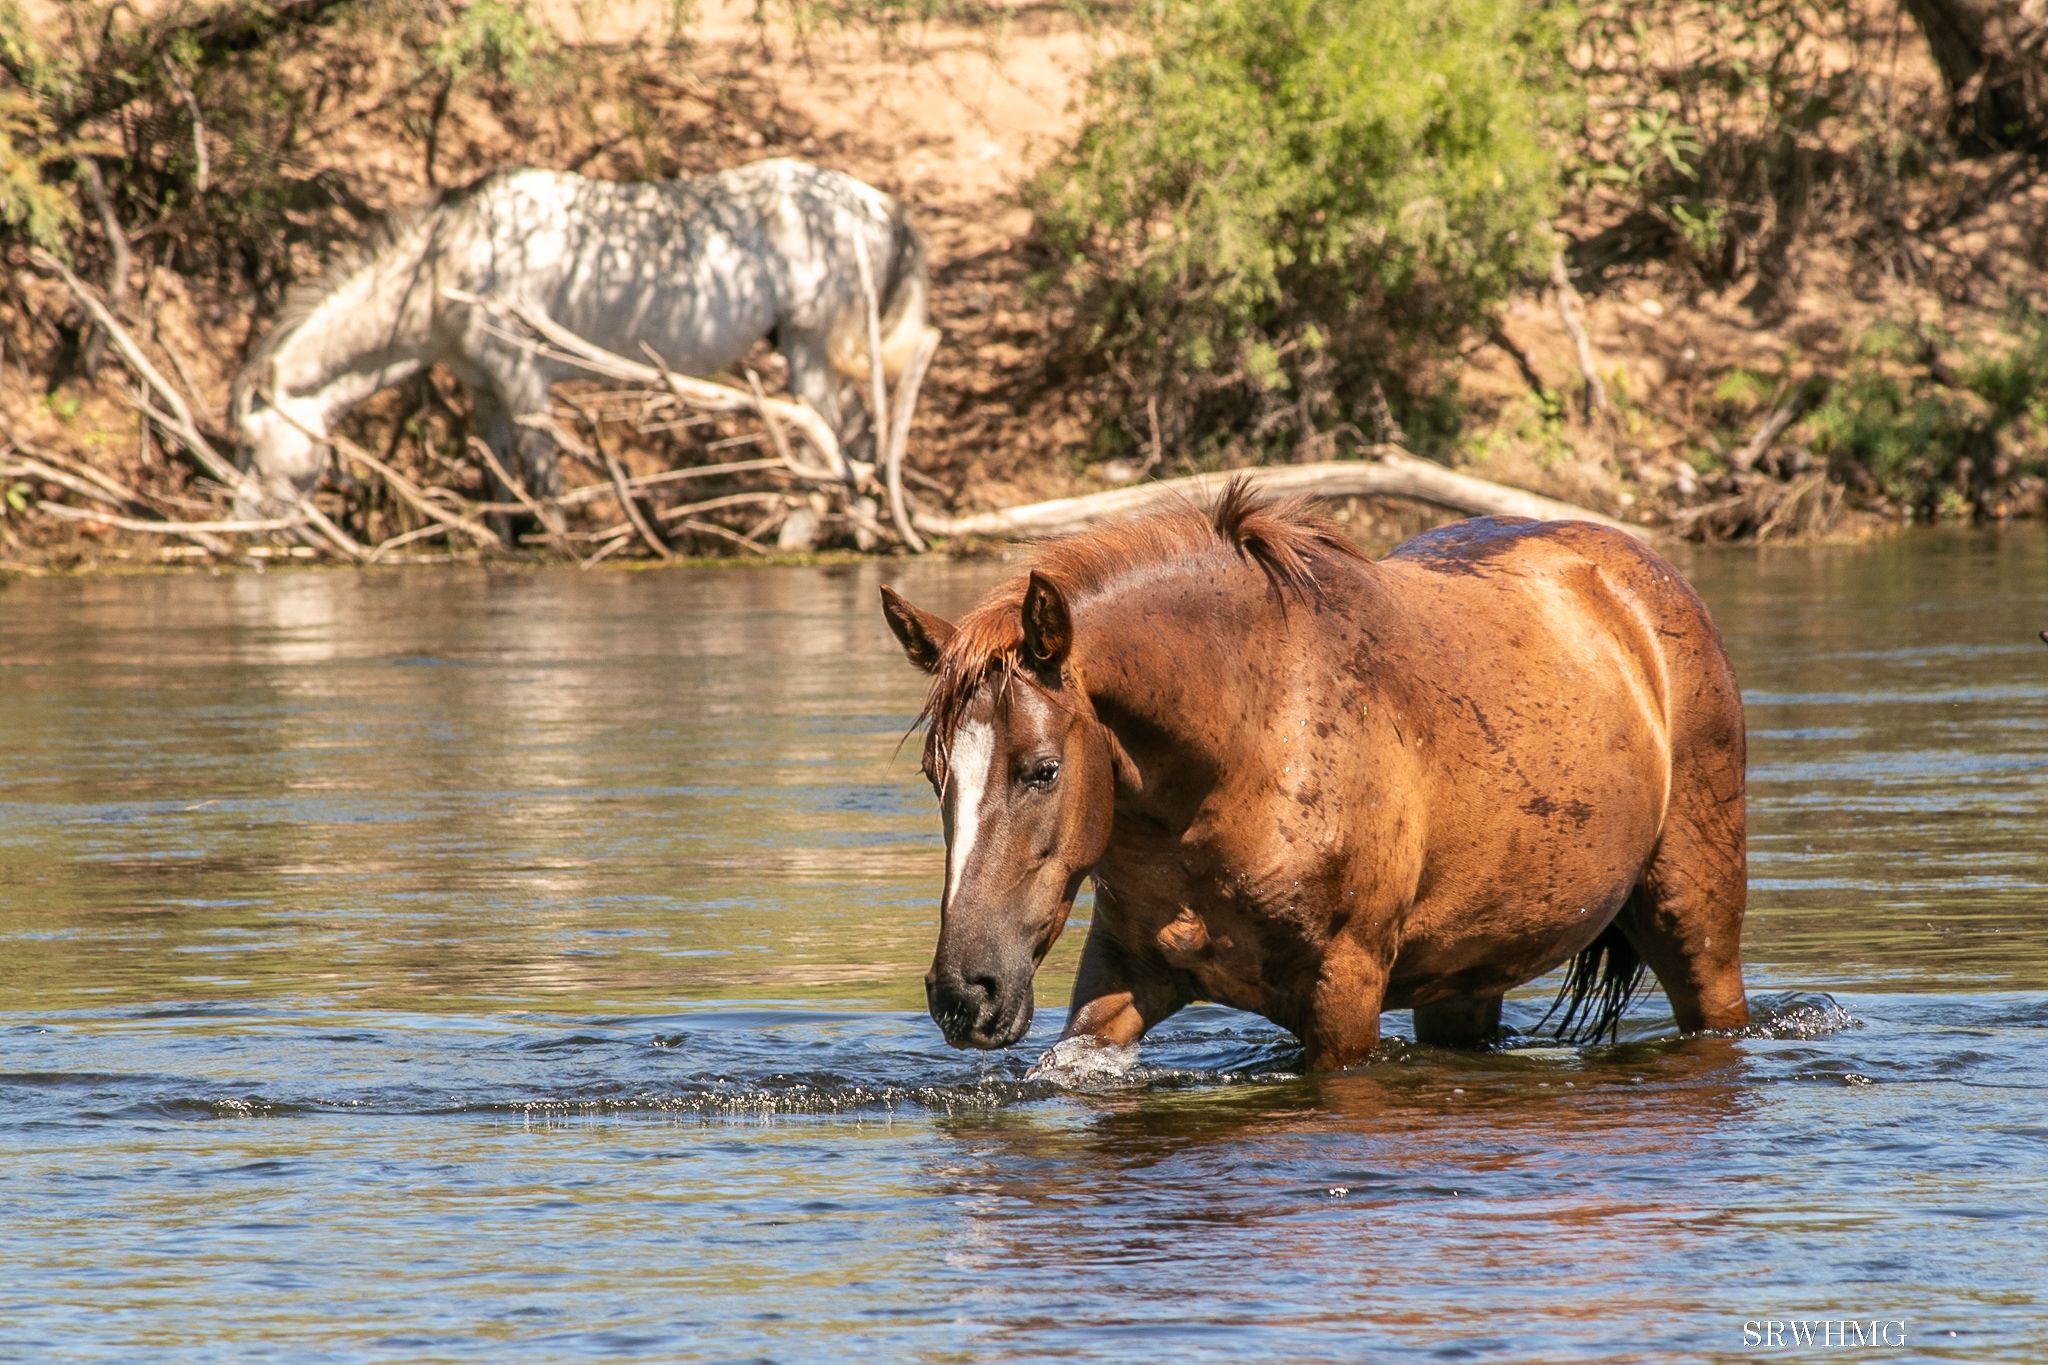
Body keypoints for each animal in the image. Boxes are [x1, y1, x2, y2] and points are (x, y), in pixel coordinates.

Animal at [228, 158, 927, 516]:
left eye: (254, 446)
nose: (247, 528)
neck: (446, 268)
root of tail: (881, 205)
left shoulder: (523, 380)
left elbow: (545, 482)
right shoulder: (485, 389)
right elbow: (501, 486)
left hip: (810, 351)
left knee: (833, 444)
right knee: (857, 440)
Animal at [880, 484, 1750, 1071]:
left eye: (1043, 769)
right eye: (935, 777)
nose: (964, 992)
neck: (1246, 746)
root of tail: (1642, 583)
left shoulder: (1344, 997)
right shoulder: (1121, 978)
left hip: (1697, 934)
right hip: (1462, 980)